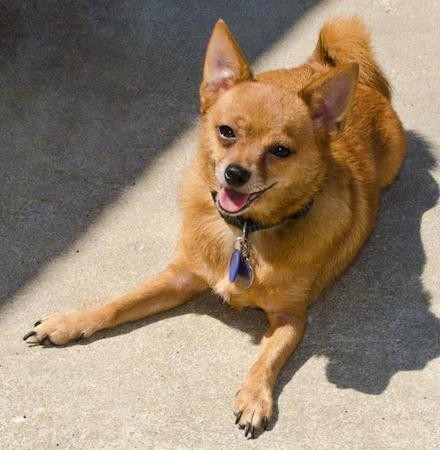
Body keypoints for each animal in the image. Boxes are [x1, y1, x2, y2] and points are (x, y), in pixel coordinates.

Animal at [24, 18, 406, 440]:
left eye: (281, 151)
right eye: (226, 132)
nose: (235, 173)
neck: (245, 232)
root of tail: (323, 65)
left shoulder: (291, 318)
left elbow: (267, 359)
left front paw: (255, 397)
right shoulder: (179, 279)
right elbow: (117, 303)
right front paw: (70, 322)